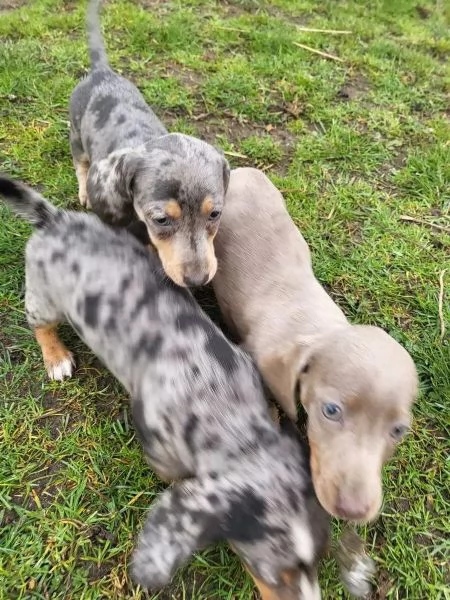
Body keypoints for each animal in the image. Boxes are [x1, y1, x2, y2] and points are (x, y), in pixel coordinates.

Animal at [0, 175, 330, 600]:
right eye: (272, 576)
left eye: (318, 560)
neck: (223, 406)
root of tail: (54, 218)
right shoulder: (158, 442)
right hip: (45, 298)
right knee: (40, 324)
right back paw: (55, 358)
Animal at [71, 0, 232, 288]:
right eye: (161, 219)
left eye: (215, 214)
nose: (197, 281)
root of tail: (101, 72)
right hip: (76, 136)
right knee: (80, 164)